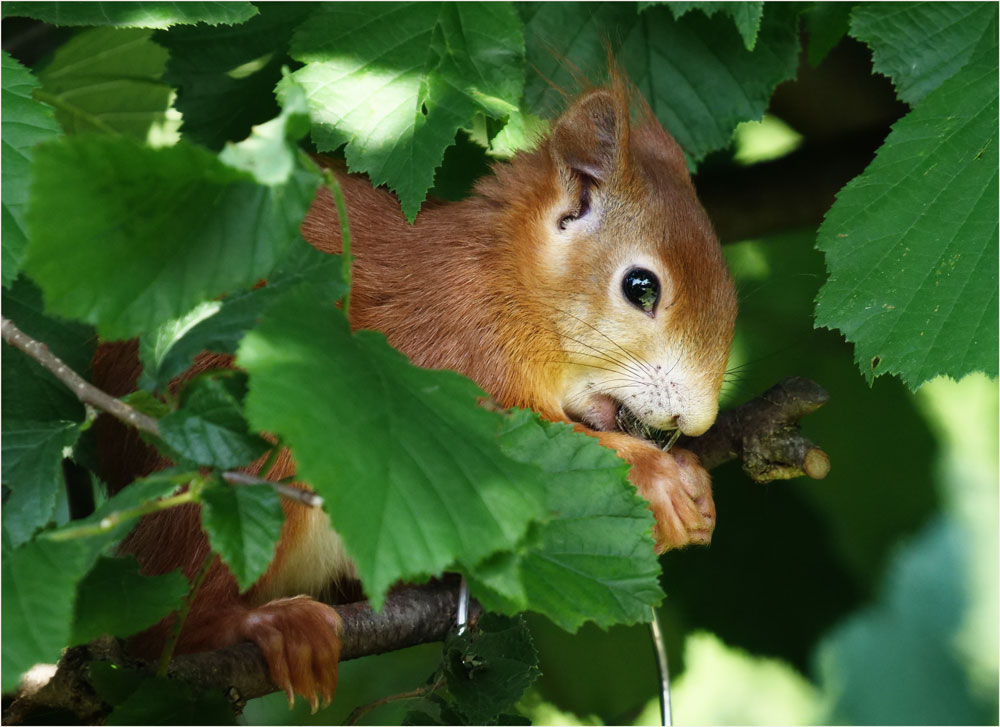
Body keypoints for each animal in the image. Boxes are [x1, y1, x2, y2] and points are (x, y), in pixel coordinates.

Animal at [94, 79, 736, 712]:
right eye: (640, 287)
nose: (697, 421)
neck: (504, 281)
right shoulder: (448, 349)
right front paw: (657, 477)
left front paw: (695, 485)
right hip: (241, 456)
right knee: (163, 627)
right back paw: (263, 625)